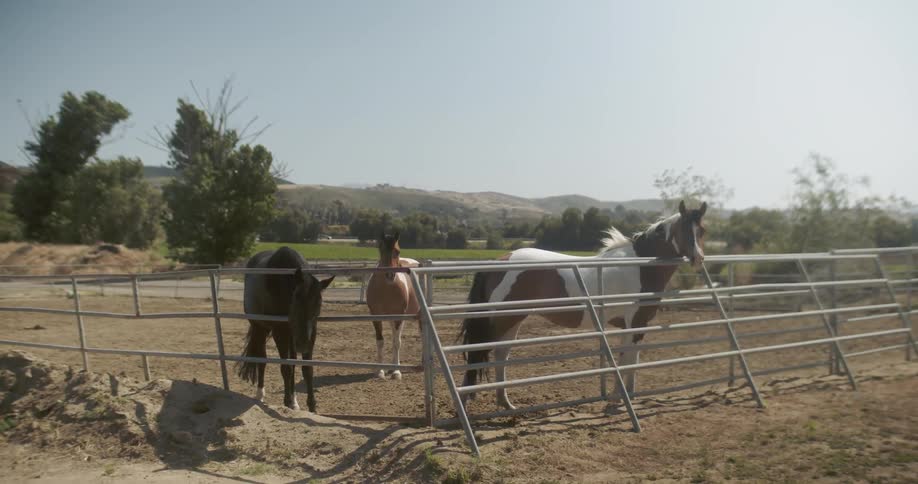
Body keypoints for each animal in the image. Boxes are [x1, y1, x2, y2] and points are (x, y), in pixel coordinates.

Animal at [237, 247, 334, 411]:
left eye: (319, 303)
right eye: (296, 297)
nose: (302, 344)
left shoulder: (310, 333)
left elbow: (307, 369)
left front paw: (311, 407)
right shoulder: (279, 331)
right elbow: (285, 368)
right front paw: (287, 401)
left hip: (291, 336)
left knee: (292, 362)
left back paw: (294, 400)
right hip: (260, 328)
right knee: (262, 360)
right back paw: (260, 394)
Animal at [366, 231, 421, 380]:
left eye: (397, 251)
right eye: (381, 249)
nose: (390, 275)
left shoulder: (399, 316)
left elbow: (397, 342)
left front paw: (396, 372)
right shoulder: (375, 316)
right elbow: (380, 341)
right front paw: (380, 371)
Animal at [460, 200, 708, 410]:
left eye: (702, 231)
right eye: (683, 230)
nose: (698, 259)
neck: (641, 265)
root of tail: (499, 262)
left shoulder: (636, 325)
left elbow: (630, 359)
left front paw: (627, 394)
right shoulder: (634, 321)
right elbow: (627, 359)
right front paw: (617, 398)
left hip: (513, 319)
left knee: (501, 354)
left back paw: (506, 403)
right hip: (499, 319)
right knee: (477, 353)